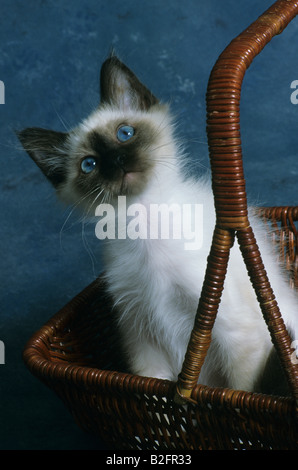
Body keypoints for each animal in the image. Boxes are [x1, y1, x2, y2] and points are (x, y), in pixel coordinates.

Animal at [17, 54, 296, 392]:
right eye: (89, 165)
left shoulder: (235, 334)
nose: (117, 162)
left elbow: (239, 390)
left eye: (125, 133)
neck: (144, 226)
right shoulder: (143, 341)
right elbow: (154, 386)